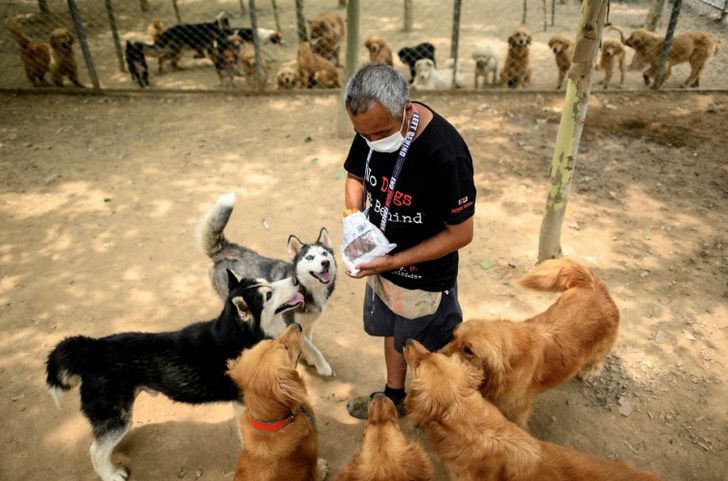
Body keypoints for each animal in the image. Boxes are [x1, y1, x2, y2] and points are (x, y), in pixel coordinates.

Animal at [45, 272, 302, 480]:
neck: (240, 335)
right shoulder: (246, 403)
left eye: (266, 281)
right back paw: (111, 475)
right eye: (268, 295)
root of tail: (93, 349)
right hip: (116, 418)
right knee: (95, 451)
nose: (295, 279)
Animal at [196, 193, 338, 376]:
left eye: (324, 253)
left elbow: (308, 341)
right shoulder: (289, 323)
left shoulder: (308, 323)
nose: (325, 263)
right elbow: (312, 347)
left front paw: (309, 358)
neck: (308, 289)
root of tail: (227, 251)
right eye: (310, 258)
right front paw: (322, 365)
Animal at [228, 320, 328, 480]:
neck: (274, 422)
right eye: (286, 348)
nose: (296, 324)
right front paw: (322, 468)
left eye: (271, 340)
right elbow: (316, 471)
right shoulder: (312, 456)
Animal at [440, 256, 616, 426]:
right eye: (454, 337)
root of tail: (594, 286)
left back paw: (589, 370)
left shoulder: (515, 411)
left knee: (599, 359)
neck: (512, 359)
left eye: (468, 350)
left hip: (602, 347)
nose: (436, 355)